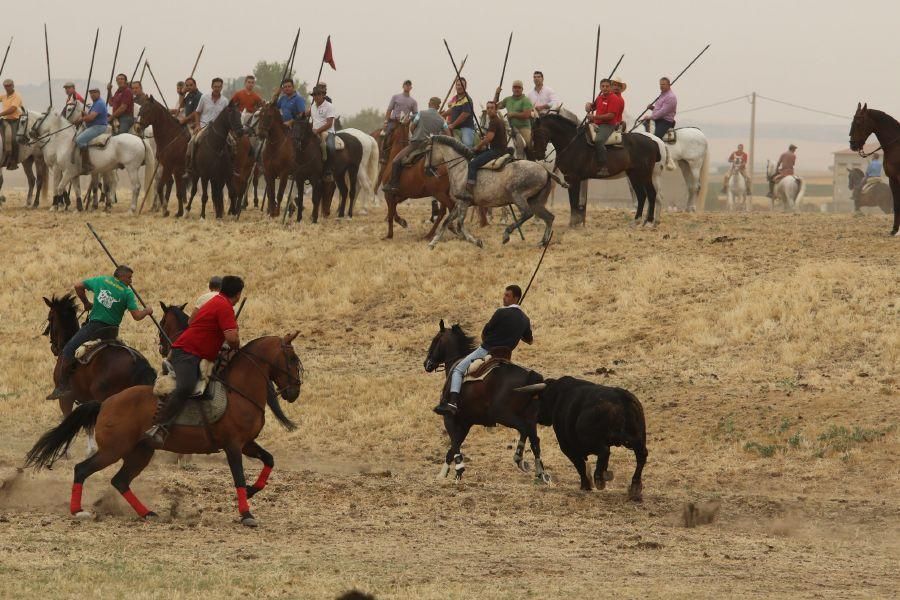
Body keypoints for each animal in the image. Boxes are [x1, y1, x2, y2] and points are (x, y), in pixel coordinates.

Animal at [26, 336, 304, 528]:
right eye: (292, 359)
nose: (295, 391)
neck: (239, 392)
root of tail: (106, 403)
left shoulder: (247, 444)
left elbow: (269, 460)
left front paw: (253, 489)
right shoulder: (233, 446)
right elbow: (237, 476)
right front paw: (246, 514)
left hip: (140, 452)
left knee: (120, 480)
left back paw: (147, 513)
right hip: (113, 450)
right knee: (82, 470)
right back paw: (78, 511)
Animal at [424, 318, 548, 482]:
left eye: (436, 340)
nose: (427, 364)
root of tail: (532, 376)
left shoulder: (449, 418)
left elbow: (454, 442)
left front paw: (457, 470)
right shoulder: (466, 422)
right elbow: (453, 447)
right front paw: (447, 474)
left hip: (504, 415)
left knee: (524, 430)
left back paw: (519, 458)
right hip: (529, 417)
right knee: (535, 439)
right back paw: (539, 472)